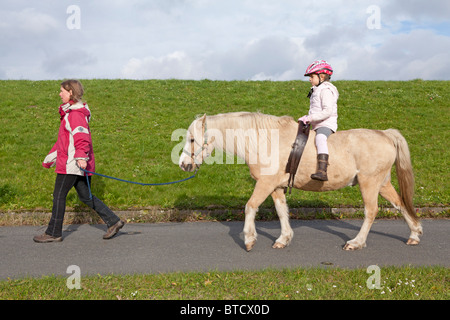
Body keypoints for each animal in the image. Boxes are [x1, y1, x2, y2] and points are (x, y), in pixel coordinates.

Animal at [178, 111, 422, 251]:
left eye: (192, 139)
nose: (183, 164)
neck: (266, 140)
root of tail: (386, 134)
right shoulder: (275, 186)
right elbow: (281, 211)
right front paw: (284, 238)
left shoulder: (265, 184)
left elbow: (250, 206)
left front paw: (249, 239)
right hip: (382, 183)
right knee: (400, 204)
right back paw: (414, 233)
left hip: (369, 183)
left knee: (371, 211)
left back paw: (356, 242)